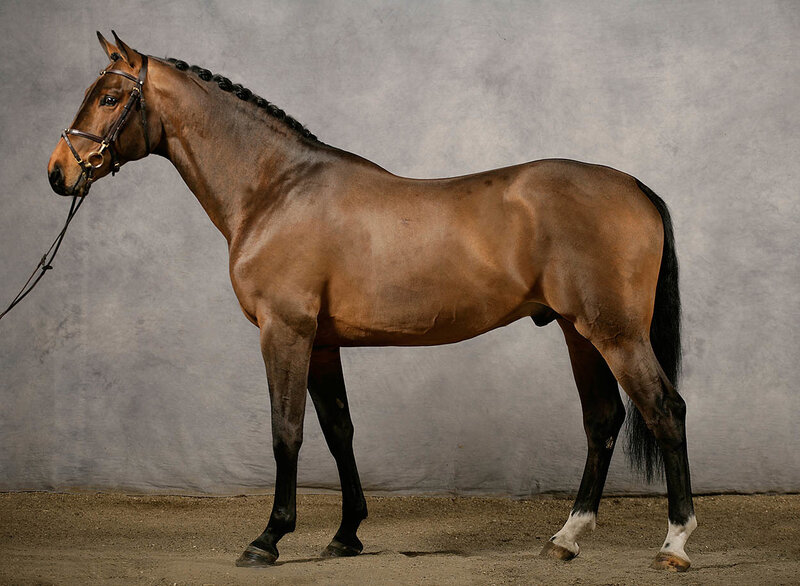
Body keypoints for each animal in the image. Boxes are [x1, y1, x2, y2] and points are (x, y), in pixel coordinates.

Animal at [46, 32, 696, 572]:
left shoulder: (284, 331)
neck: (275, 189)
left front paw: (268, 539)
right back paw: (566, 538)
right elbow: (339, 429)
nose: (58, 173)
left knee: (665, 410)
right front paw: (346, 535)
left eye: (109, 97)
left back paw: (674, 544)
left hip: (615, 333)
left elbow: (287, 431)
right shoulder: (321, 342)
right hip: (576, 329)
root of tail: (635, 187)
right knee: (602, 419)